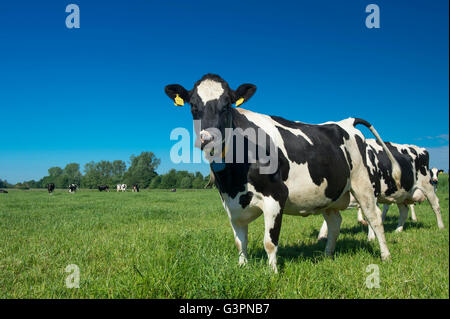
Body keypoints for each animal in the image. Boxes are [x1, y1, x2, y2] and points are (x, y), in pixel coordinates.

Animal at [165, 73, 400, 272]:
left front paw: (273, 273)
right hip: (329, 194)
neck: (234, 180)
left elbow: (270, 242)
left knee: (374, 218)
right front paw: (242, 268)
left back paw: (386, 256)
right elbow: (240, 242)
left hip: (363, 184)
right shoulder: (230, 204)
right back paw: (327, 256)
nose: (207, 138)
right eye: (193, 106)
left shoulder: (275, 196)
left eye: (227, 105)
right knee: (335, 223)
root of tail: (345, 122)